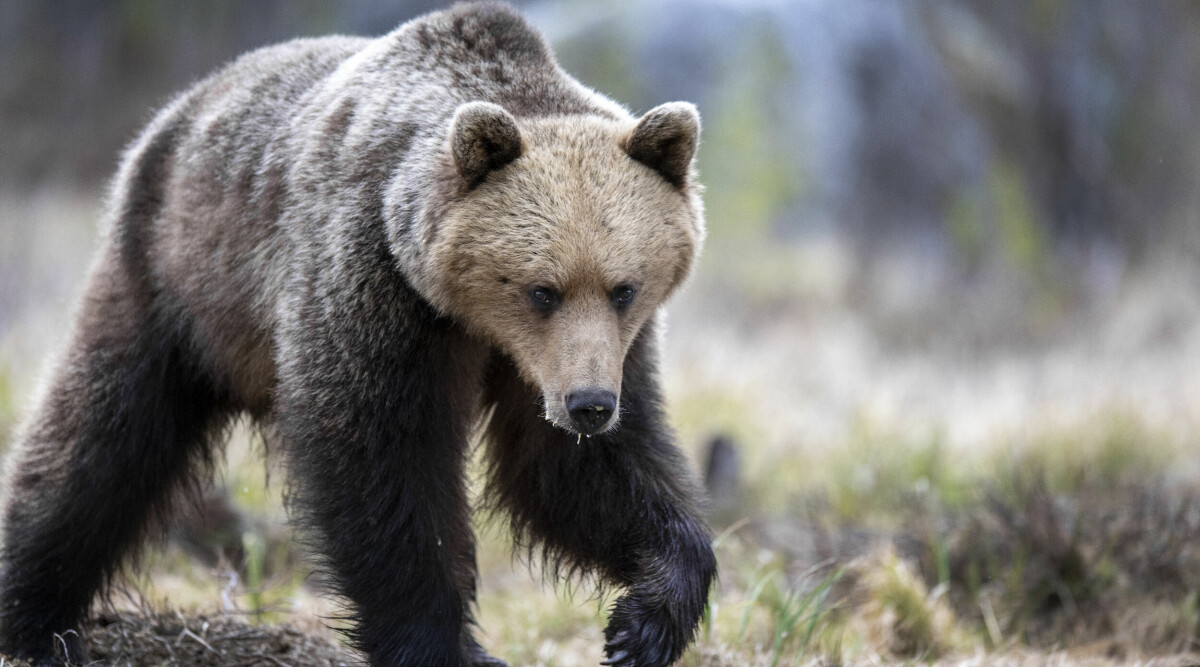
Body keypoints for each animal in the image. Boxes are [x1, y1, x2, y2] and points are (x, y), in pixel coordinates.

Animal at [0, 2, 710, 662]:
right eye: (542, 290)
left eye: (624, 288)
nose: (589, 405)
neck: (467, 316)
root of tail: (184, 102)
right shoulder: (373, 285)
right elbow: (378, 461)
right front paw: (440, 644)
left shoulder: (587, 356)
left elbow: (574, 472)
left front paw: (643, 624)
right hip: (175, 276)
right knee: (104, 433)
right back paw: (35, 619)